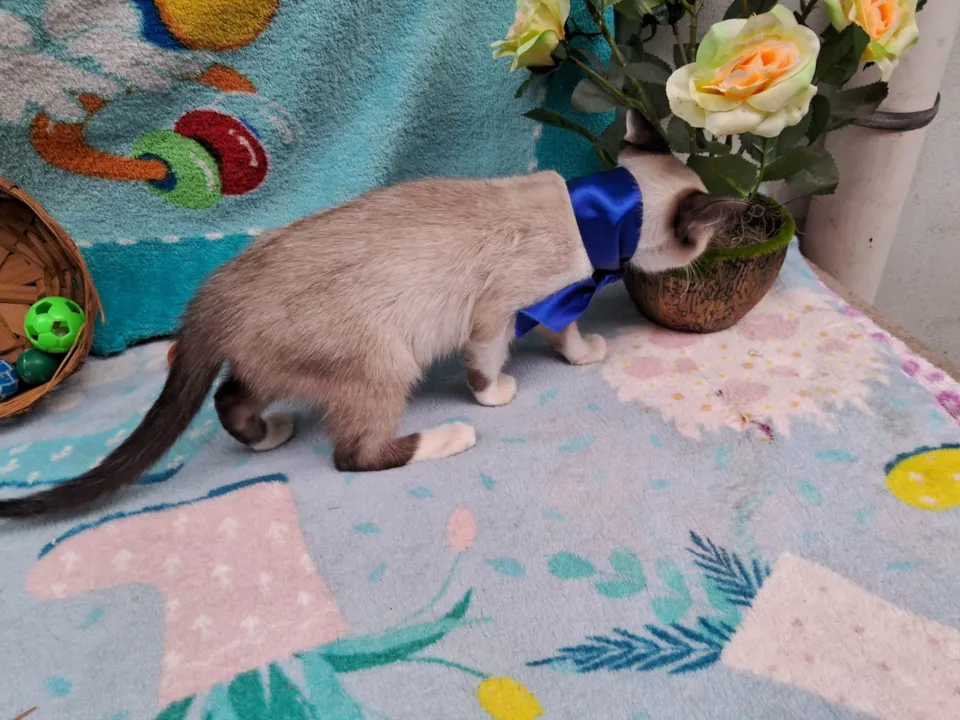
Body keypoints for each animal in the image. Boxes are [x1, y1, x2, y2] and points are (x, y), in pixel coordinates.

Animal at [0, 110, 744, 517]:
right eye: (705, 239)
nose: (717, 247)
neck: (595, 216)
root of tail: (219, 287)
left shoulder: (555, 300)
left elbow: (568, 331)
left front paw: (584, 354)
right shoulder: (498, 309)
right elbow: (488, 362)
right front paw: (497, 395)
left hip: (274, 366)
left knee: (232, 396)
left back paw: (267, 436)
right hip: (386, 360)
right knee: (354, 455)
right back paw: (450, 436)